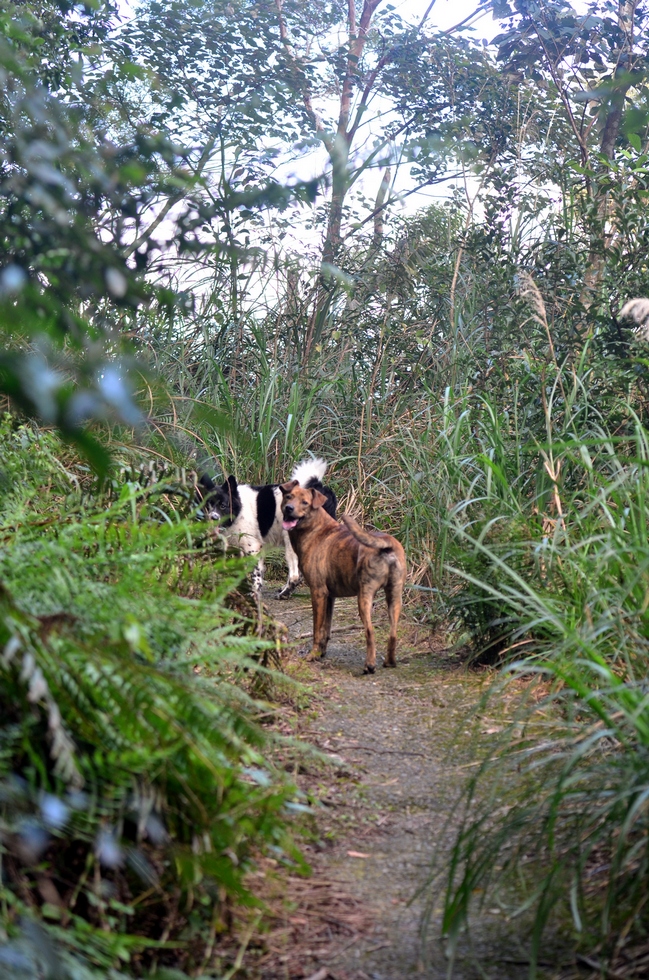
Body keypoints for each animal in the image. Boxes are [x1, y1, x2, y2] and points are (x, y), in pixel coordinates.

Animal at [196, 458, 336, 596]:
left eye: (223, 506)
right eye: (207, 505)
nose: (213, 518)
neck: (239, 509)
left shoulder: (253, 547)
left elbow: (256, 573)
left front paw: (254, 592)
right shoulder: (239, 548)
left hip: (290, 544)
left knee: (295, 575)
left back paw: (284, 594)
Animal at [280, 482, 404, 672]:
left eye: (305, 502)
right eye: (288, 496)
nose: (289, 508)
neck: (315, 529)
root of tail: (387, 543)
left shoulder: (318, 592)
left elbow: (317, 629)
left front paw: (312, 655)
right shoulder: (329, 596)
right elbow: (326, 629)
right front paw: (321, 653)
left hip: (364, 596)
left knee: (370, 631)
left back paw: (369, 665)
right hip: (395, 596)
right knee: (393, 632)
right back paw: (389, 662)